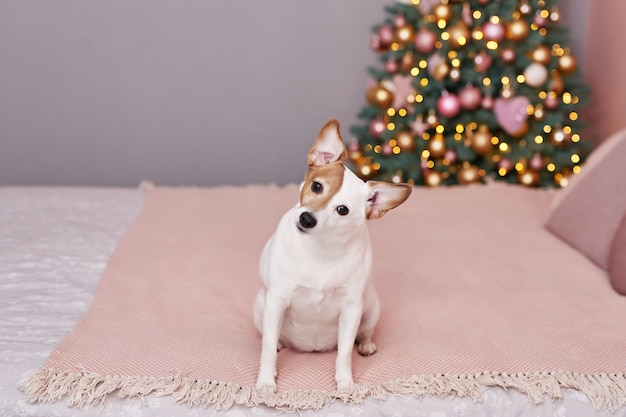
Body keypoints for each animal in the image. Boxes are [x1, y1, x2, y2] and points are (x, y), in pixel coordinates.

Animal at [251, 118, 412, 392]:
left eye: (342, 210)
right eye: (317, 186)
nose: (307, 218)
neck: (321, 250)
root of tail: (311, 348)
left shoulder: (351, 309)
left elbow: (344, 352)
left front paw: (346, 383)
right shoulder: (277, 301)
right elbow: (267, 350)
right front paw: (265, 382)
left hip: (371, 308)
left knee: (364, 333)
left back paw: (366, 344)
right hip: (261, 309)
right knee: (271, 338)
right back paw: (281, 344)